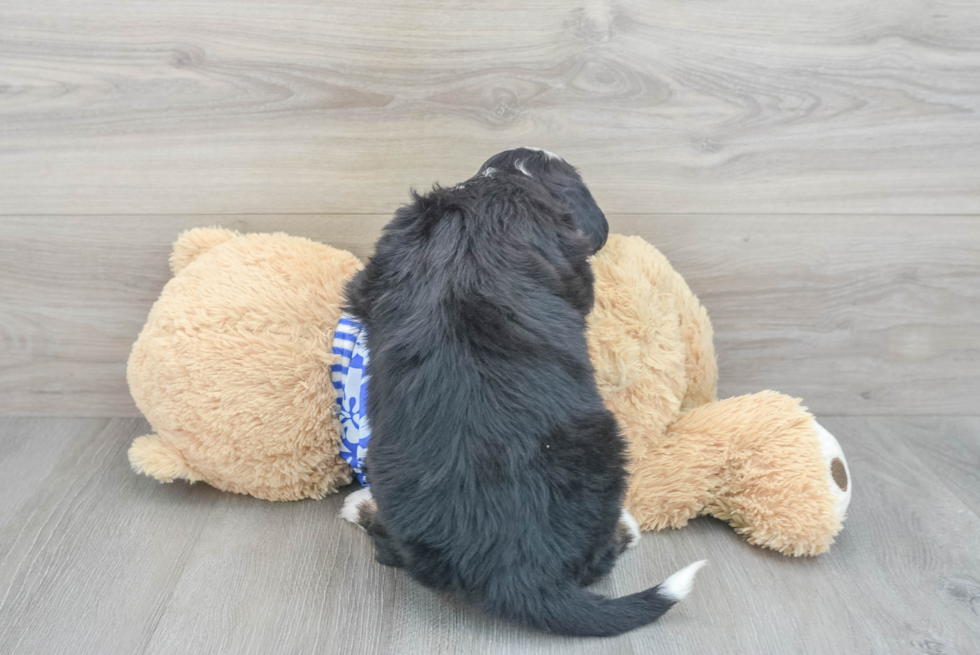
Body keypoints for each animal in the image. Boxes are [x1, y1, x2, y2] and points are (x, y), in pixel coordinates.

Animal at [340, 147, 700, 636]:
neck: (495, 190)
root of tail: (516, 572)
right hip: (609, 451)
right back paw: (626, 527)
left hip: (388, 473)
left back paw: (360, 506)